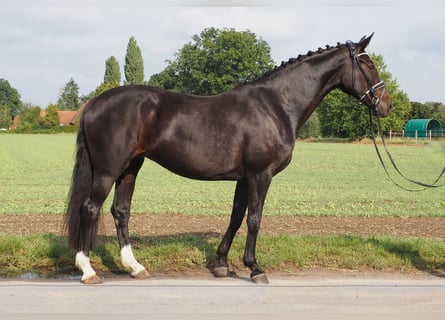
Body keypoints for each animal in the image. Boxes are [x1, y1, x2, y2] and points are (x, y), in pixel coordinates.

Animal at [65, 35, 388, 284]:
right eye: (369, 64)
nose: (385, 104)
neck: (276, 105)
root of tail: (94, 104)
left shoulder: (244, 178)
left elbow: (236, 217)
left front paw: (221, 264)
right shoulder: (260, 174)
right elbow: (255, 219)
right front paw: (255, 268)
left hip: (130, 168)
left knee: (120, 211)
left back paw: (135, 267)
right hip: (108, 170)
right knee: (90, 208)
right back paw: (88, 270)